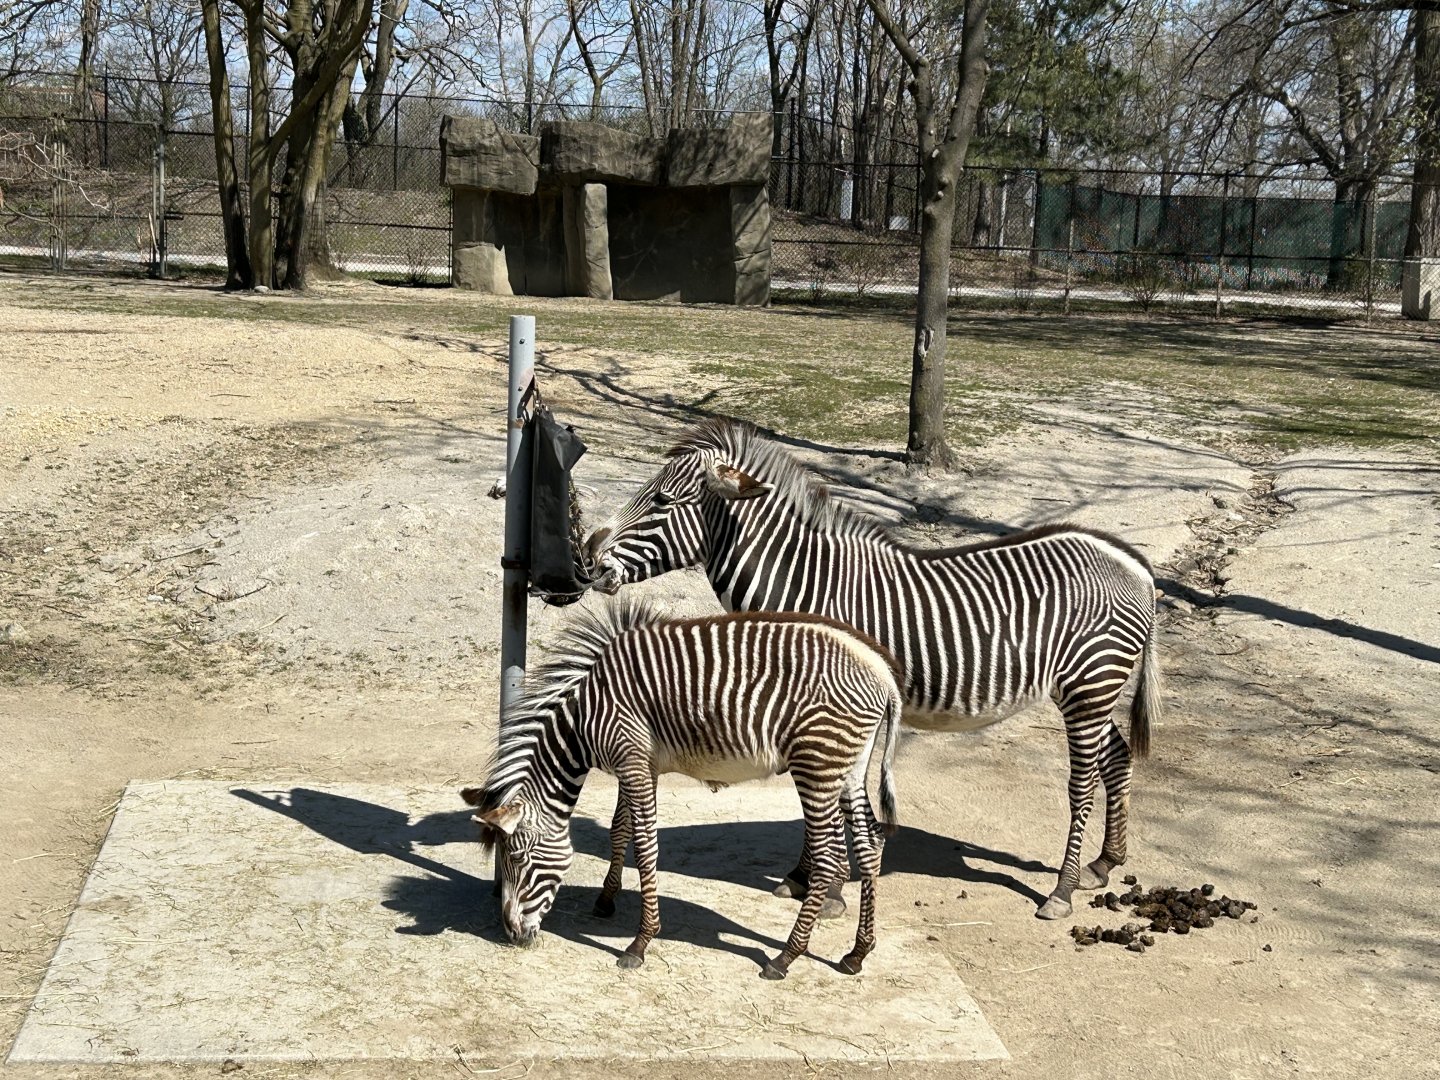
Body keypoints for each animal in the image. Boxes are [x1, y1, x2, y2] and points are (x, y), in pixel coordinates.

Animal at [462, 597, 905, 980]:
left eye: (516, 857)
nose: (511, 934)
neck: (585, 718)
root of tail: (884, 672)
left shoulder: (632, 759)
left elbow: (646, 847)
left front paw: (639, 943)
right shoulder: (640, 763)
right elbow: (619, 829)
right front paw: (606, 900)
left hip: (818, 762)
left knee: (829, 857)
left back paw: (785, 957)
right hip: (849, 766)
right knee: (871, 845)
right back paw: (857, 953)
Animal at [585, 417, 1163, 921]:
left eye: (661, 501)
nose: (591, 563)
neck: (803, 582)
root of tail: (1133, 561)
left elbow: (835, 800)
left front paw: (832, 890)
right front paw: (803, 877)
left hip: (1090, 683)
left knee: (1082, 782)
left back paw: (1061, 891)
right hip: (1087, 689)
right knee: (1116, 758)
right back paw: (1104, 864)